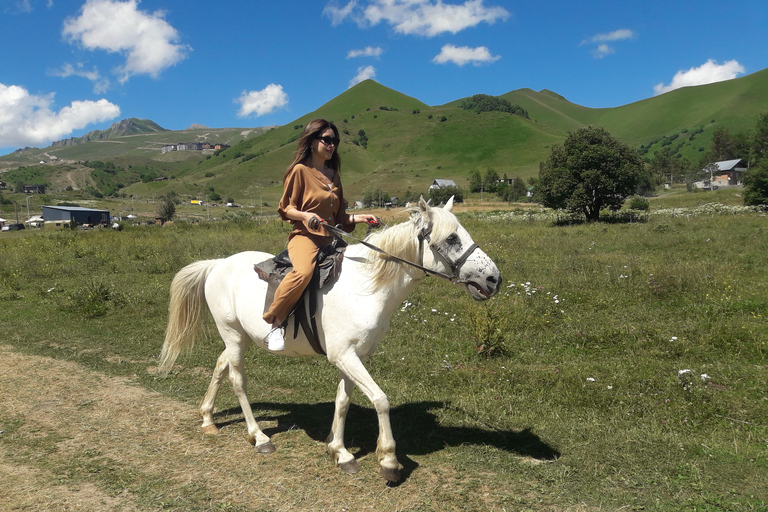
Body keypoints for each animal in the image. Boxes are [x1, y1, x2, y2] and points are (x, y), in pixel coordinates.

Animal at [159, 198, 500, 482]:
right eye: (452, 238)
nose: (494, 279)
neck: (364, 287)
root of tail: (218, 264)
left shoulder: (354, 355)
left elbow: (343, 401)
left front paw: (339, 451)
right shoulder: (345, 356)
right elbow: (381, 399)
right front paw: (388, 460)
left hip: (237, 338)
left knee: (220, 364)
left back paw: (208, 419)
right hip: (232, 334)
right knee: (237, 380)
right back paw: (258, 437)